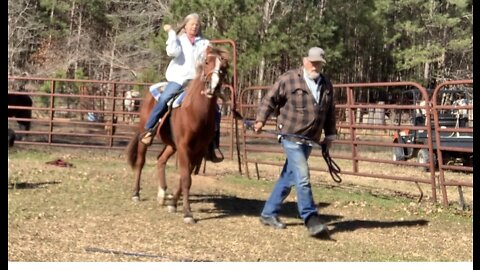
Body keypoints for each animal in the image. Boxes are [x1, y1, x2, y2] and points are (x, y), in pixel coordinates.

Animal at [124, 46, 228, 224]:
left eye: (224, 67)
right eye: (207, 62)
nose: (213, 87)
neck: (195, 112)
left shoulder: (198, 151)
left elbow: (186, 177)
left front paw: (172, 204)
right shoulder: (184, 147)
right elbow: (186, 179)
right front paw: (187, 213)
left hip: (172, 145)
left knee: (161, 160)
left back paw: (162, 194)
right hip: (146, 137)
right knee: (140, 162)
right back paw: (136, 193)